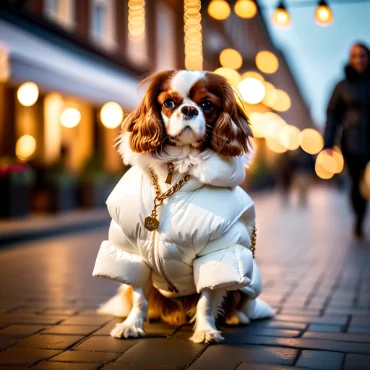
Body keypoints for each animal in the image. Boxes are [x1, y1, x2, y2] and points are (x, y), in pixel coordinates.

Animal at [92, 70, 274, 344]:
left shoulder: (215, 252)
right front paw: (132, 325)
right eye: (168, 103)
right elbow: (138, 296)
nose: (188, 109)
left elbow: (206, 299)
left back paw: (235, 317)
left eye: (207, 105)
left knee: (238, 297)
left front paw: (206, 330)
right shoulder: (132, 250)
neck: (175, 172)